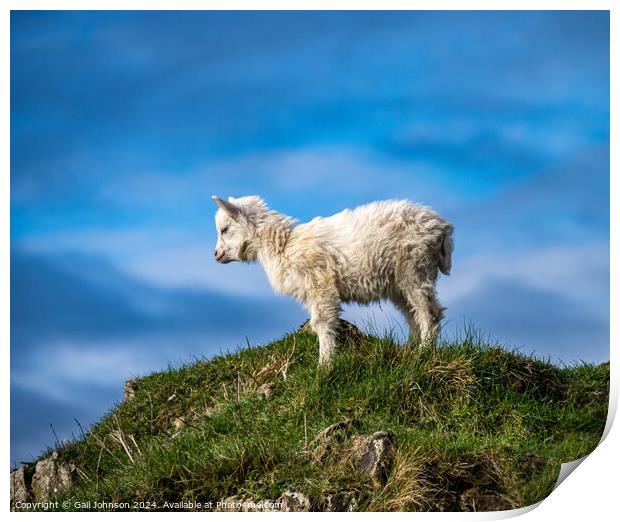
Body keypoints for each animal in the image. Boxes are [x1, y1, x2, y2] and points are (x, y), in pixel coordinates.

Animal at [214, 193, 456, 364]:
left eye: (224, 229)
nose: (216, 255)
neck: (283, 245)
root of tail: (442, 228)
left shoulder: (320, 284)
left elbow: (322, 323)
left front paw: (325, 365)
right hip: (398, 282)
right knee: (412, 314)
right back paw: (410, 350)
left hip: (415, 267)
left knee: (429, 312)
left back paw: (424, 353)